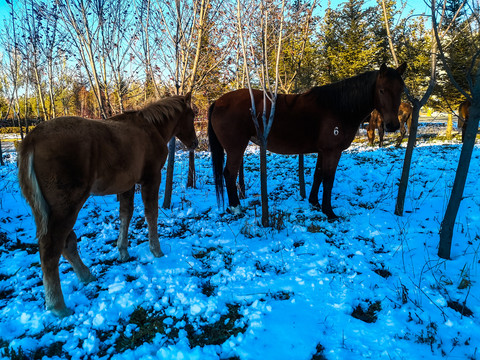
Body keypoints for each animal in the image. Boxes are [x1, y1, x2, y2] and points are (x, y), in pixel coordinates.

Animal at [16, 93, 197, 316]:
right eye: (192, 114)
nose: (195, 142)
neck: (150, 128)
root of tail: (31, 139)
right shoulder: (151, 178)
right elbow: (151, 213)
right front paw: (156, 250)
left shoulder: (127, 185)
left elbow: (125, 214)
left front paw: (123, 251)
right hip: (67, 207)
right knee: (51, 247)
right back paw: (58, 305)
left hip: (47, 210)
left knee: (65, 243)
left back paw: (85, 275)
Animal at [208, 62, 406, 219]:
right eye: (382, 90)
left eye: (400, 89)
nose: (393, 125)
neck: (338, 107)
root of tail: (218, 102)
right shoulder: (332, 152)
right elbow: (328, 179)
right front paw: (329, 212)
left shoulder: (323, 151)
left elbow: (318, 175)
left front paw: (315, 203)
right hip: (236, 148)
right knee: (229, 174)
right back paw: (236, 208)